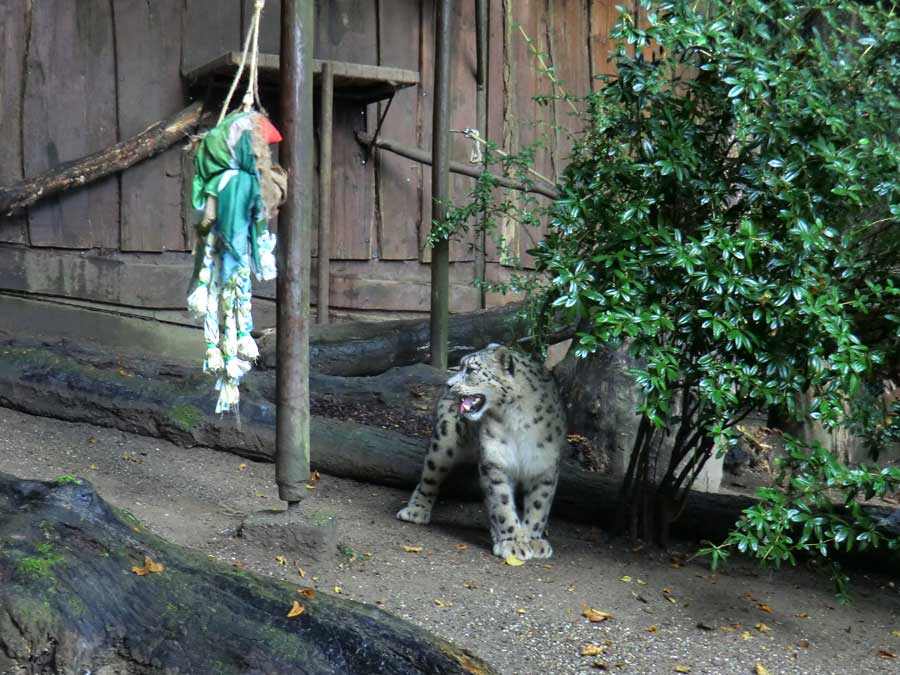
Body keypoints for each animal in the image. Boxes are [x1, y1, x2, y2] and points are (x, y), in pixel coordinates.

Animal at [400, 344, 568, 560]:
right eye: (460, 366)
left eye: (471, 370)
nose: (448, 385)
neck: (516, 418)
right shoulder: (495, 461)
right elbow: (502, 504)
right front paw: (514, 544)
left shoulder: (544, 465)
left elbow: (539, 505)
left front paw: (532, 540)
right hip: (444, 441)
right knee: (430, 476)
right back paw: (415, 511)